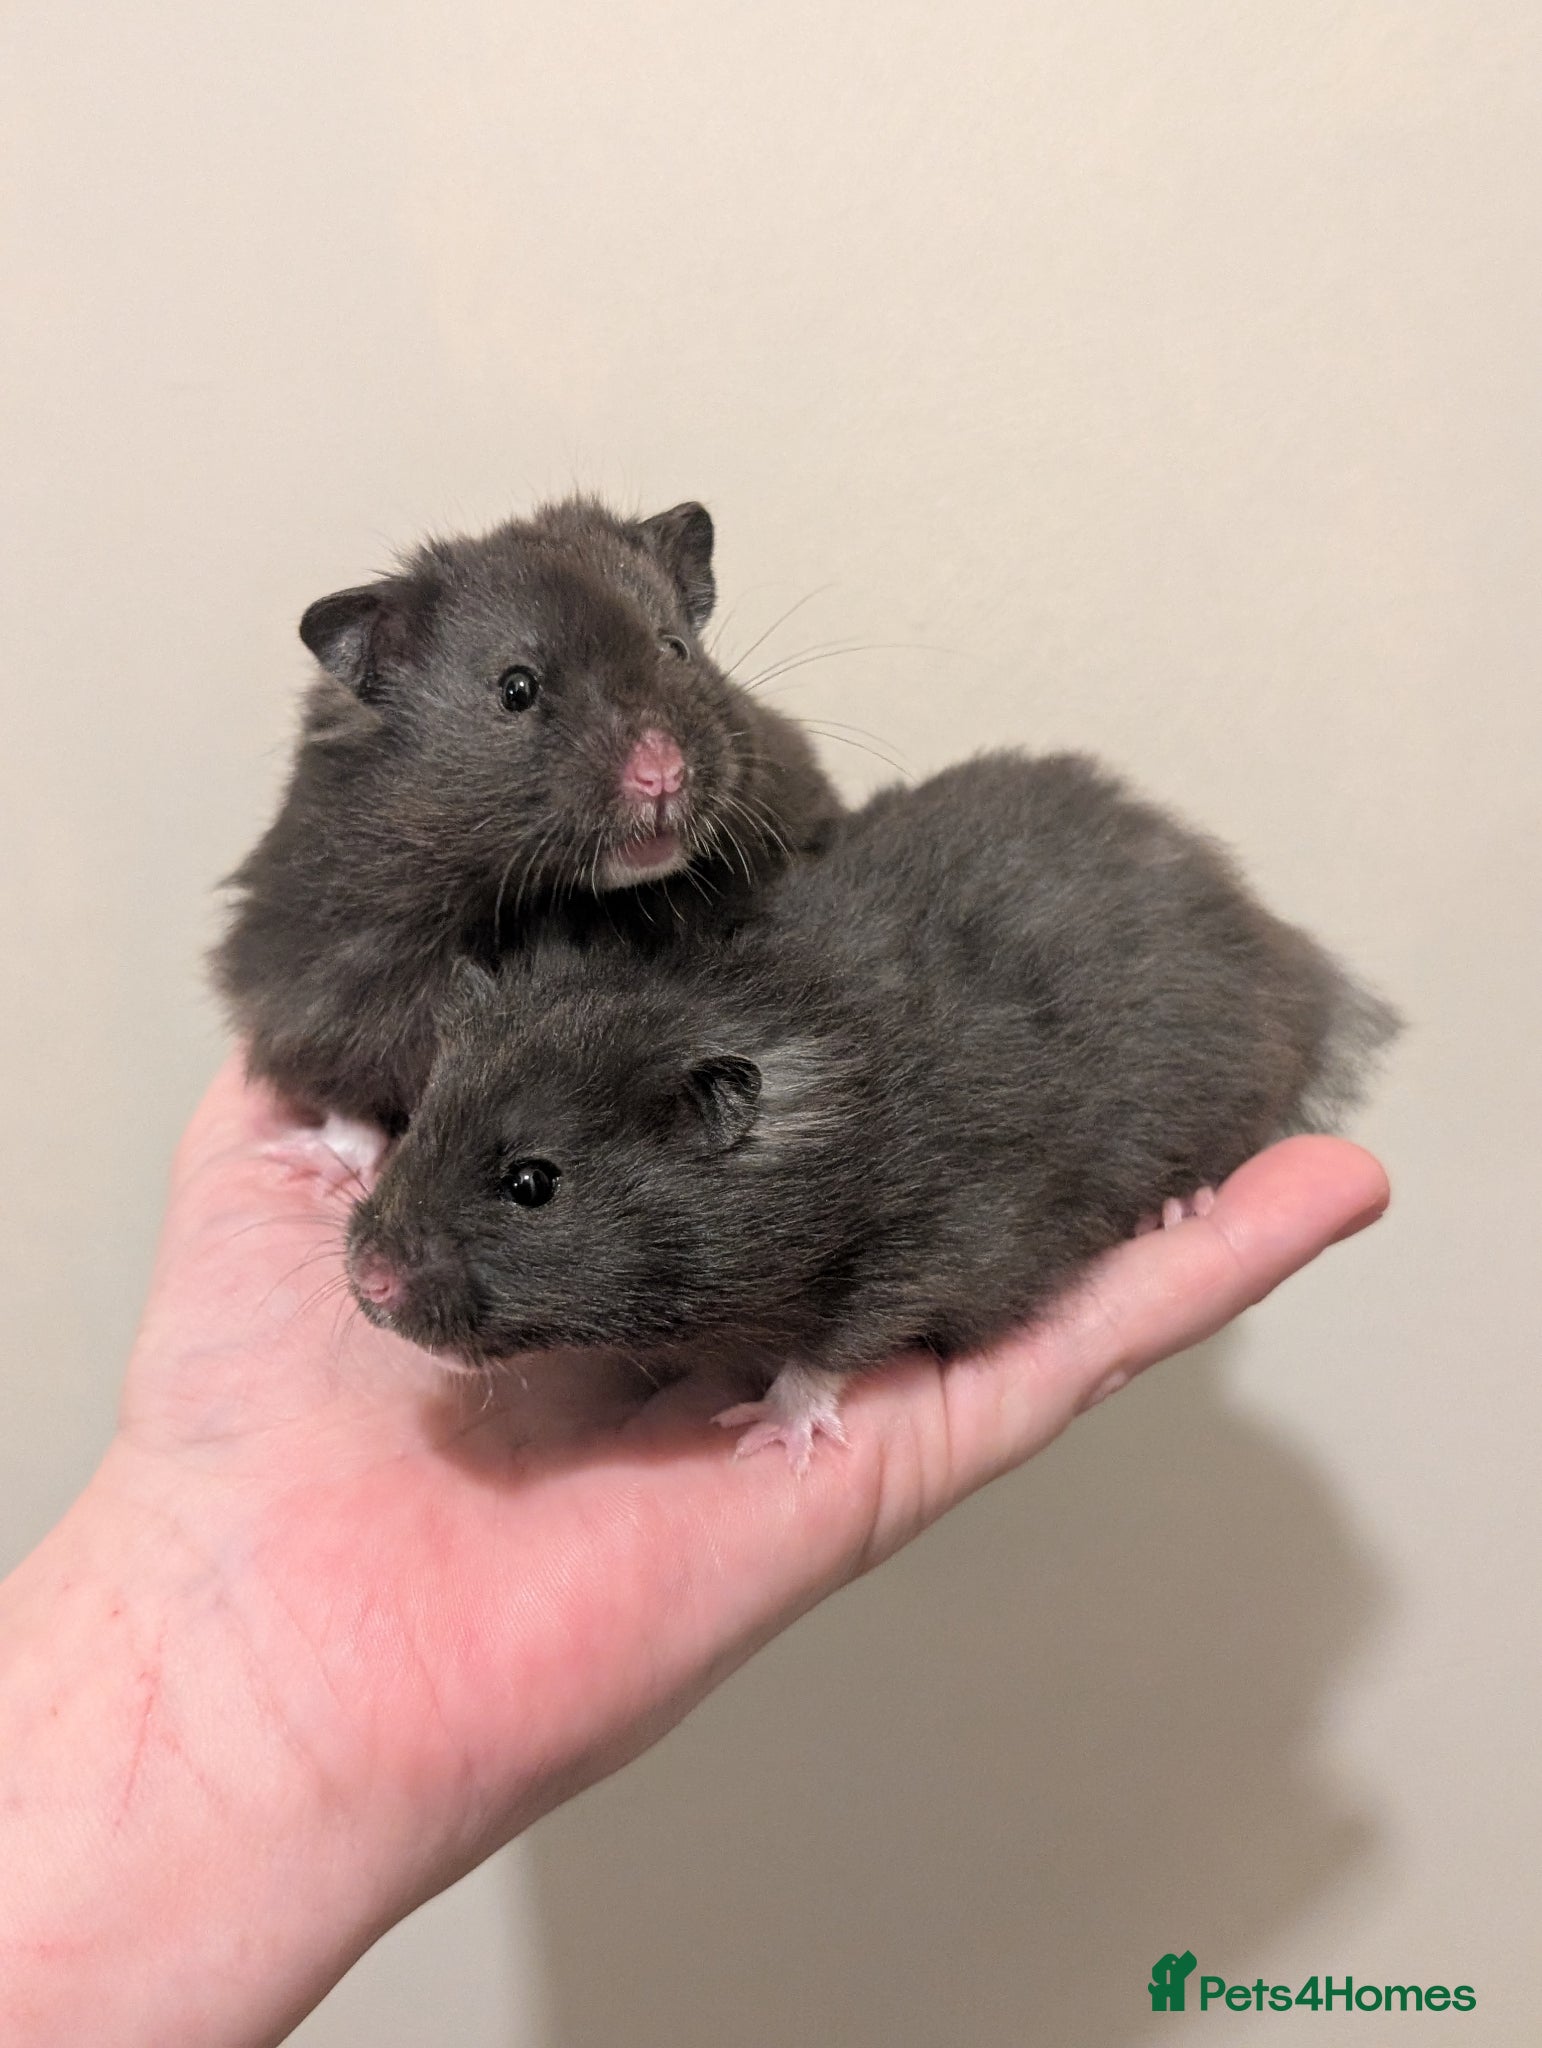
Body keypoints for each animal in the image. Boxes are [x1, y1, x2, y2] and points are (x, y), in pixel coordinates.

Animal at [345, 751, 1400, 1468]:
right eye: (421, 1120)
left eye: (533, 1184)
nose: (368, 1281)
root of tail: (1266, 932)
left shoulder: (937, 1239)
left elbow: (838, 1344)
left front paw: (767, 1433)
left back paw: (1178, 1205)